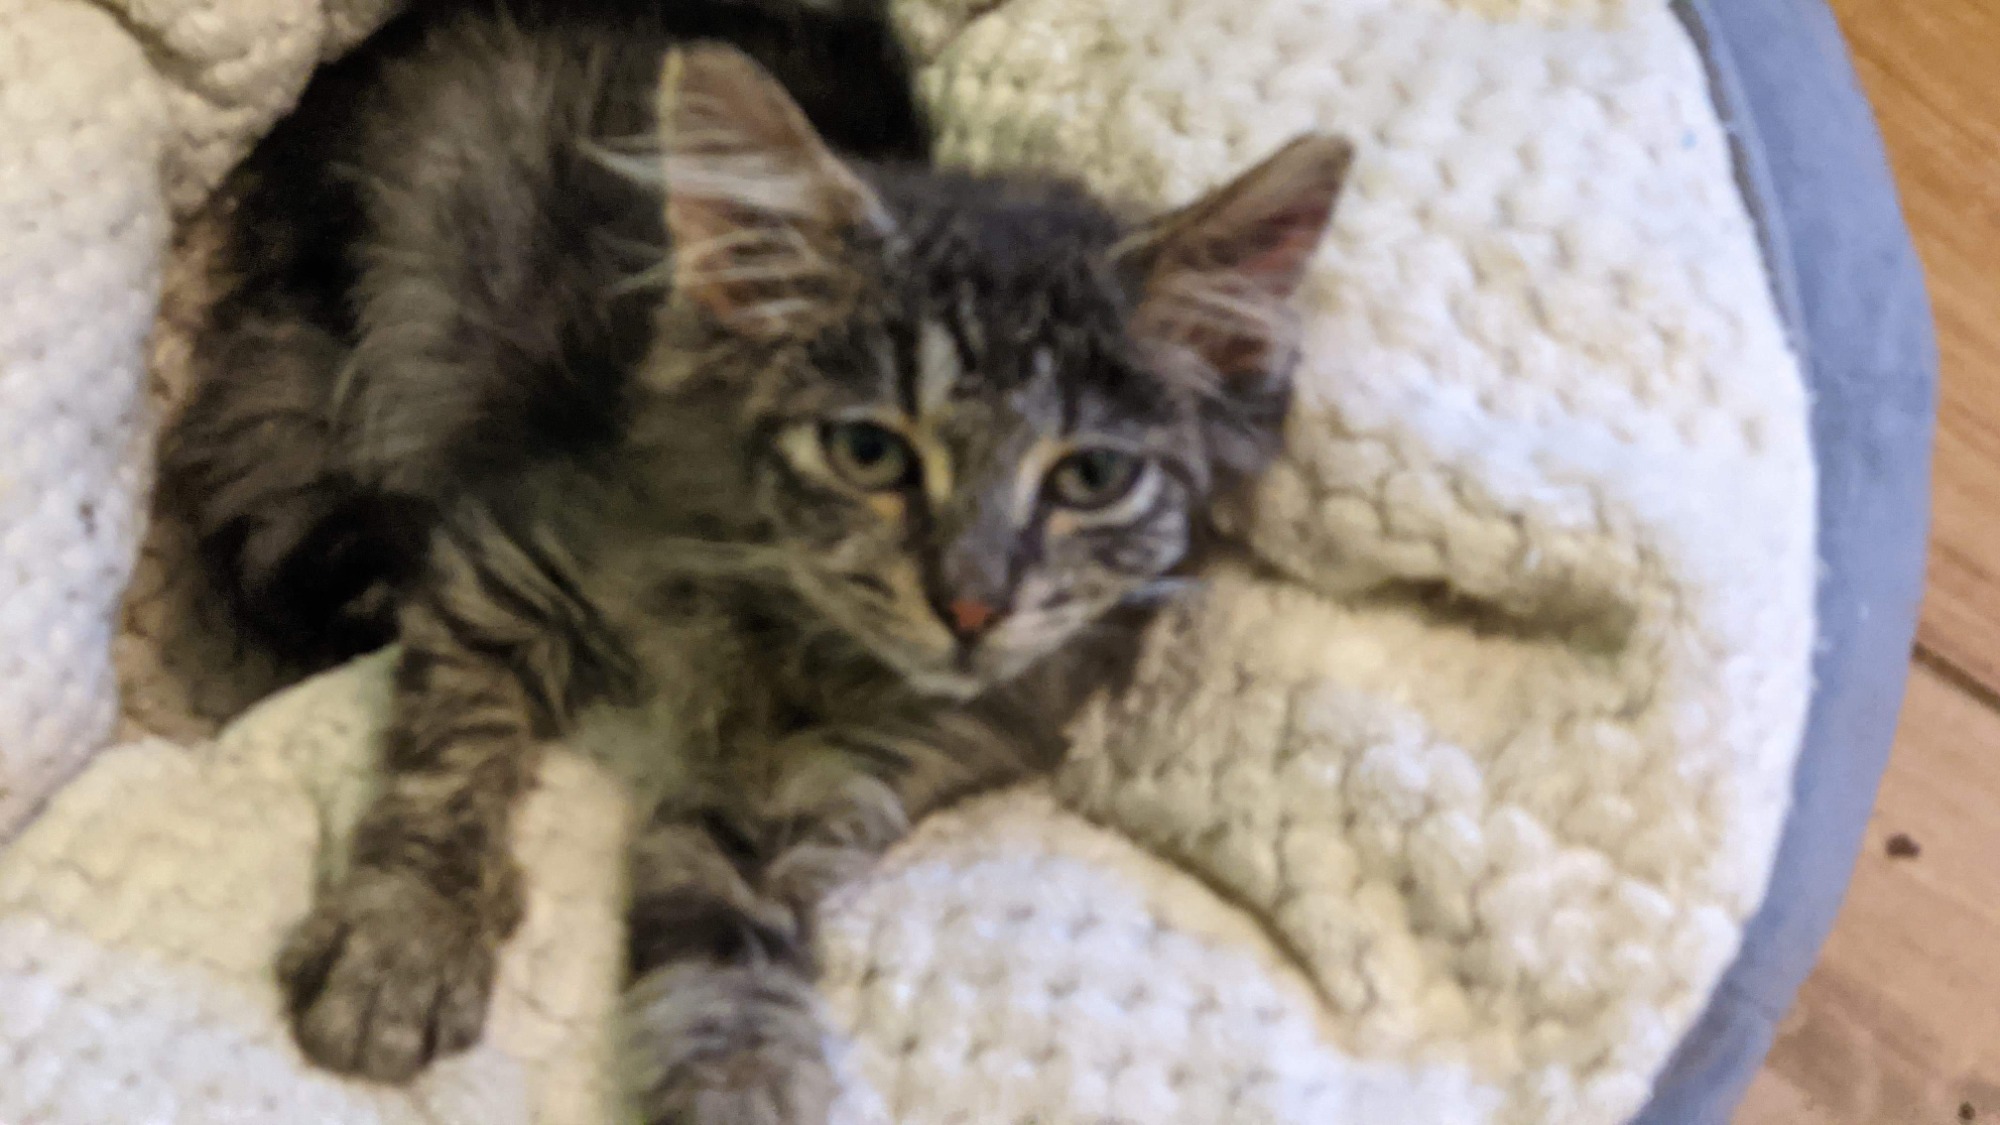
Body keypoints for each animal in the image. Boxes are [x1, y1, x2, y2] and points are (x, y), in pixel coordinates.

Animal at [160, 0, 1352, 1119]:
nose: (972, 608)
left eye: (1091, 476)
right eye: (868, 451)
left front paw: (740, 1075)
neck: (789, 627)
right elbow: (447, 767)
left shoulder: (828, 778)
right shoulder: (505, 559)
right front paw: (402, 941)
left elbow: (721, 930)